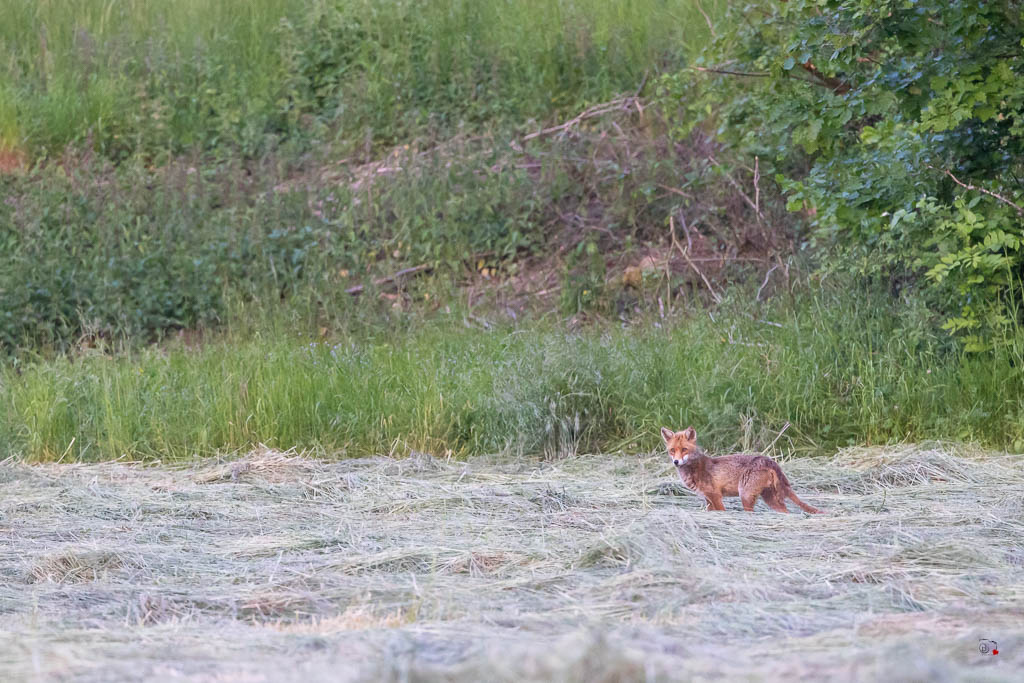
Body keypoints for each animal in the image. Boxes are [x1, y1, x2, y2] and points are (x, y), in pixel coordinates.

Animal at [661, 426, 824, 514]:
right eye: (672, 450)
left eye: (684, 449)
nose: (676, 462)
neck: (695, 466)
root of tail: (768, 460)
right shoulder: (708, 500)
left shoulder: (716, 496)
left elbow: (722, 511)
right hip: (770, 499)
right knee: (786, 511)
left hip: (745, 496)